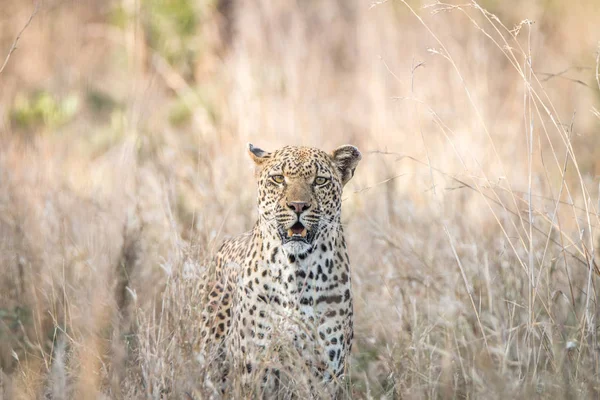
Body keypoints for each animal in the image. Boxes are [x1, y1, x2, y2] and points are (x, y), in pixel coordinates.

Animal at [200, 143, 360, 396]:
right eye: (278, 179)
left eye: (320, 181)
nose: (298, 206)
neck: (296, 270)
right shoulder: (254, 366)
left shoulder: (326, 372)